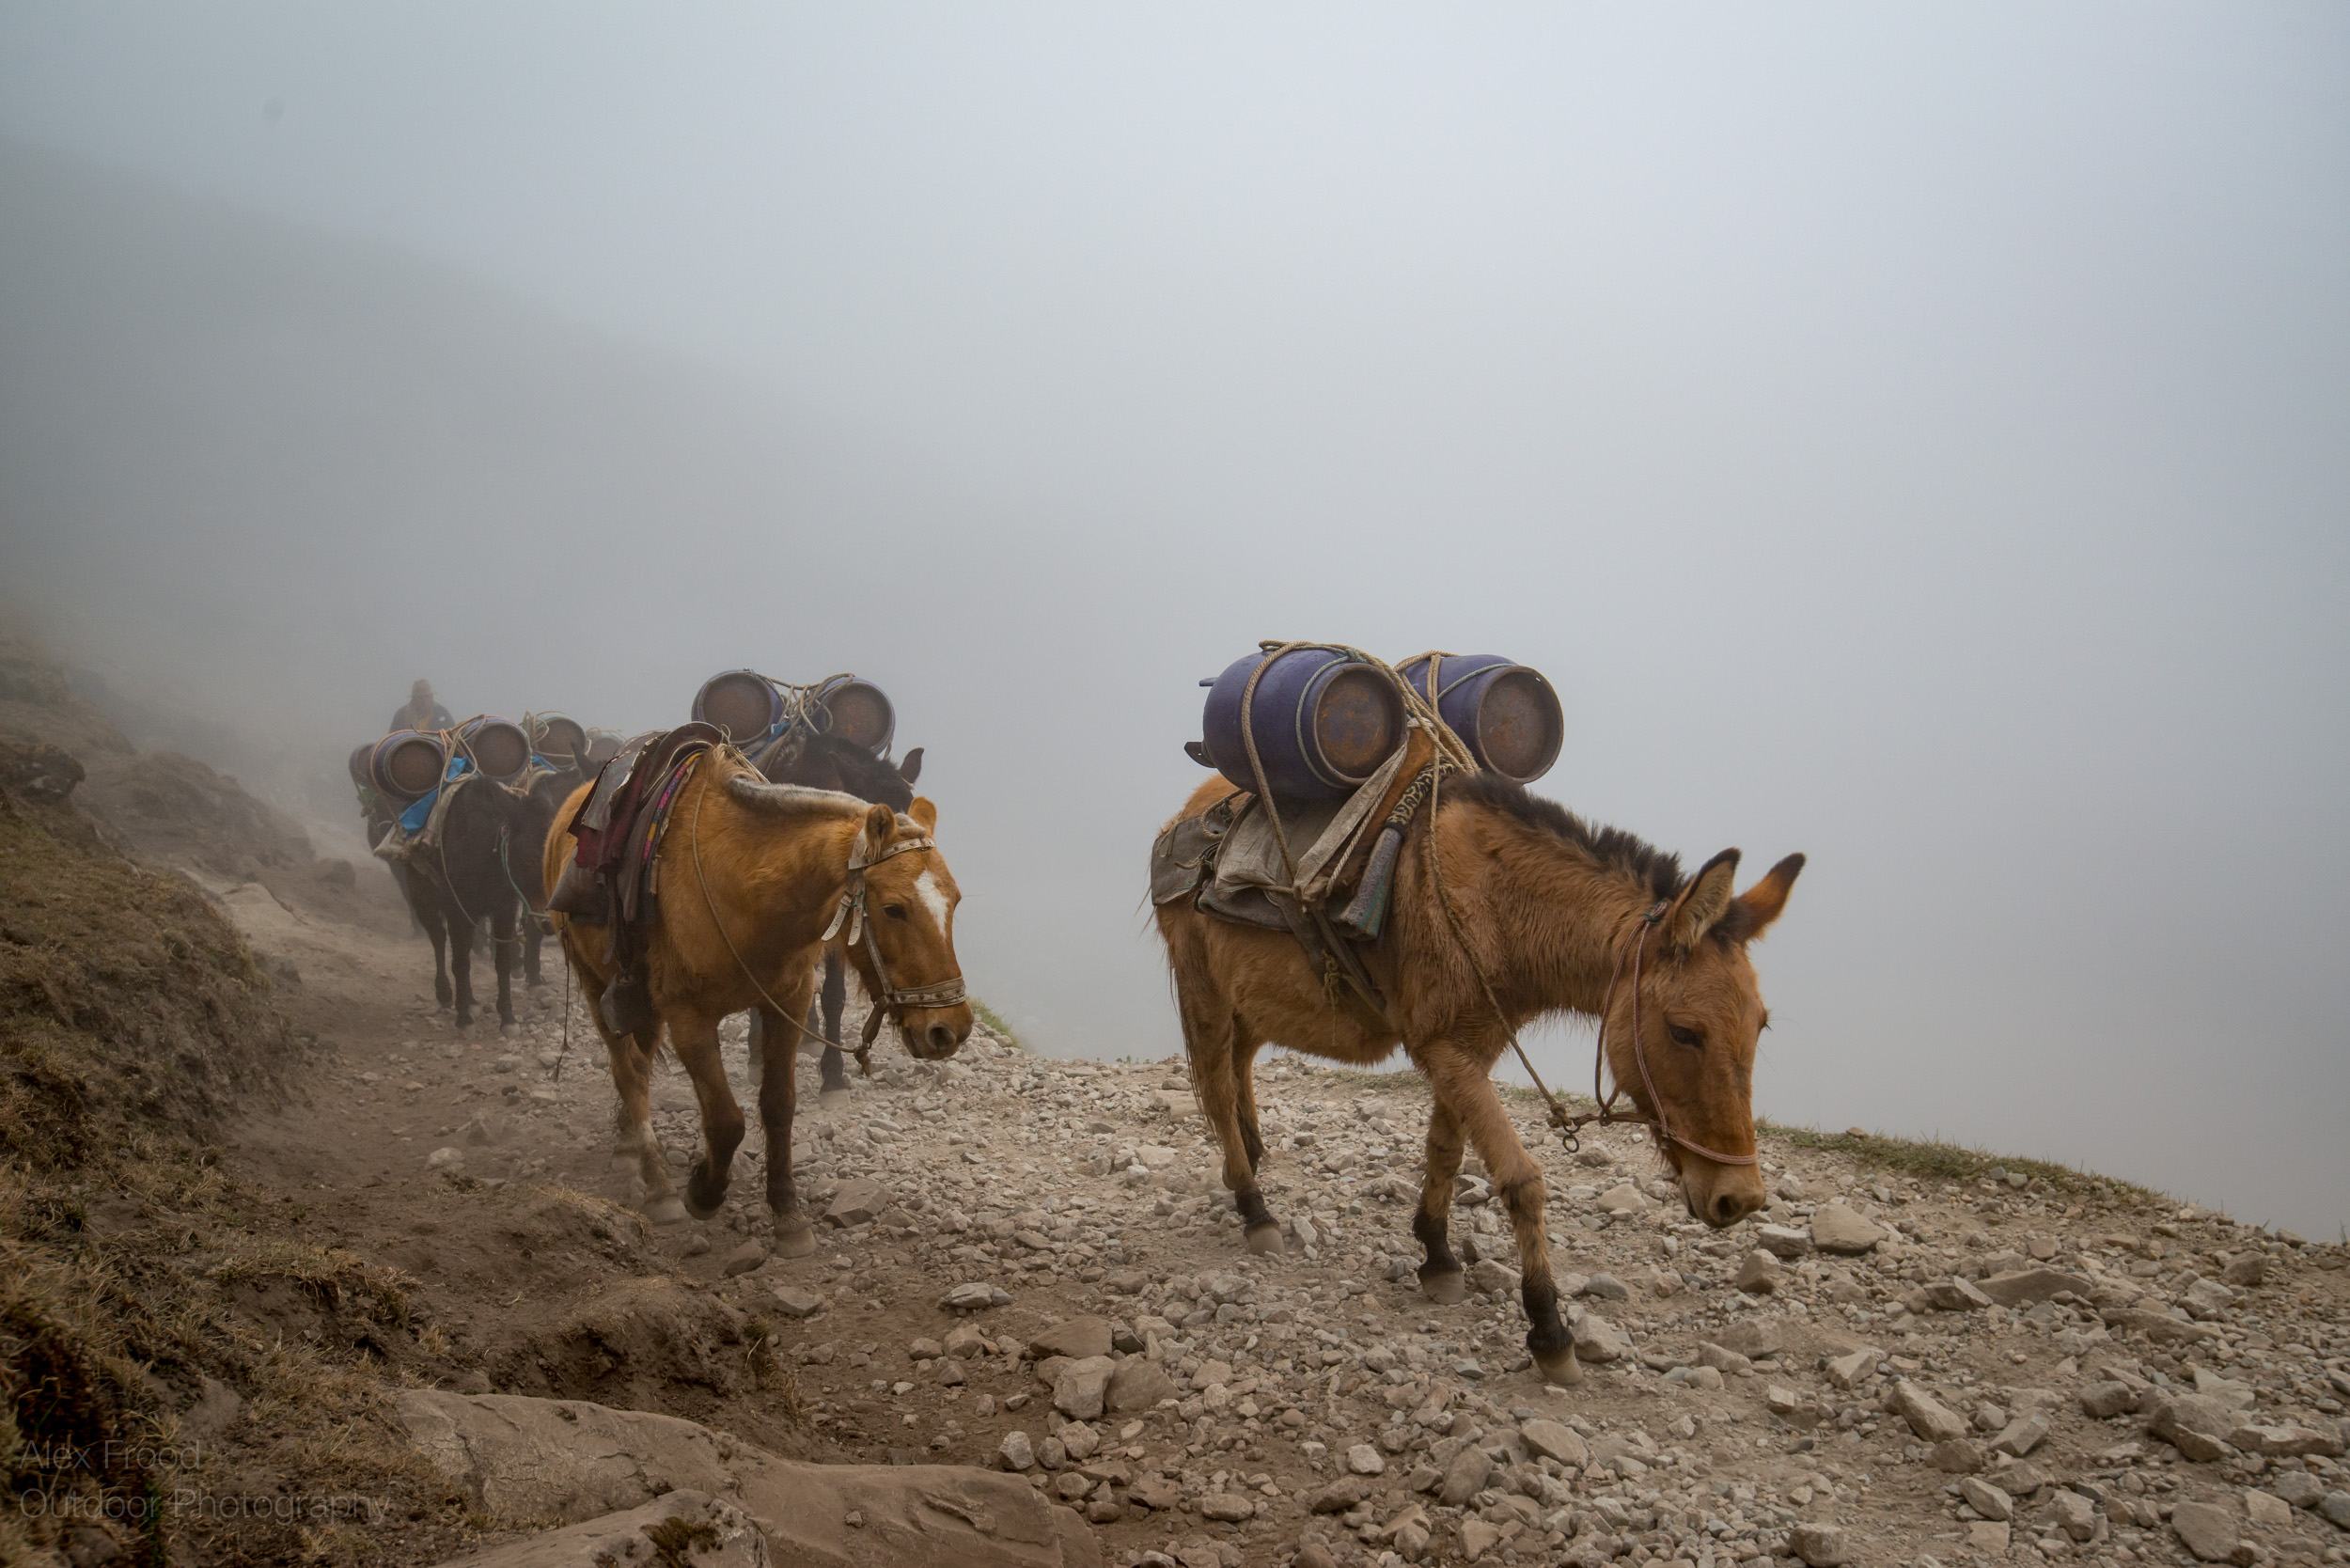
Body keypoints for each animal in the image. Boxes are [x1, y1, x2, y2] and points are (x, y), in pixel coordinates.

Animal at [545, 752, 968, 1250]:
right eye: (893, 909)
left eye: (955, 902)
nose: (949, 1029)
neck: (742, 888)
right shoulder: (688, 1017)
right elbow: (726, 1120)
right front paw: (703, 1191)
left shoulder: (788, 1001)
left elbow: (779, 1105)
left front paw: (787, 1213)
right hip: (597, 986)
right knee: (629, 1071)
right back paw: (659, 1186)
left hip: (639, 1002)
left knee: (640, 1064)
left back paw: (628, 1142)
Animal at [1156, 766, 1795, 1382]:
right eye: (1684, 1032)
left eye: (1762, 1026)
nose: (1740, 1198)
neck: (1496, 907)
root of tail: (1190, 808)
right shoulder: (1448, 1051)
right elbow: (1520, 1179)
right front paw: (1549, 1329)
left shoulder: (1470, 1048)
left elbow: (1447, 1150)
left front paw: (1437, 1254)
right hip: (1202, 985)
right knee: (1216, 1088)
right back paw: (1253, 1207)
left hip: (1251, 999)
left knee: (1240, 1064)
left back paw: (1248, 1159)